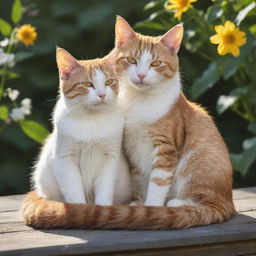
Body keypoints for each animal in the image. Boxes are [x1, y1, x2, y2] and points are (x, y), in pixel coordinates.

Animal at [31, 47, 131, 206]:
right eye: (87, 84)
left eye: (109, 82)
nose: (102, 95)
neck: (91, 120)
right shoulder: (65, 158)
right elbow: (73, 191)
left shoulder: (111, 158)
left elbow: (105, 189)